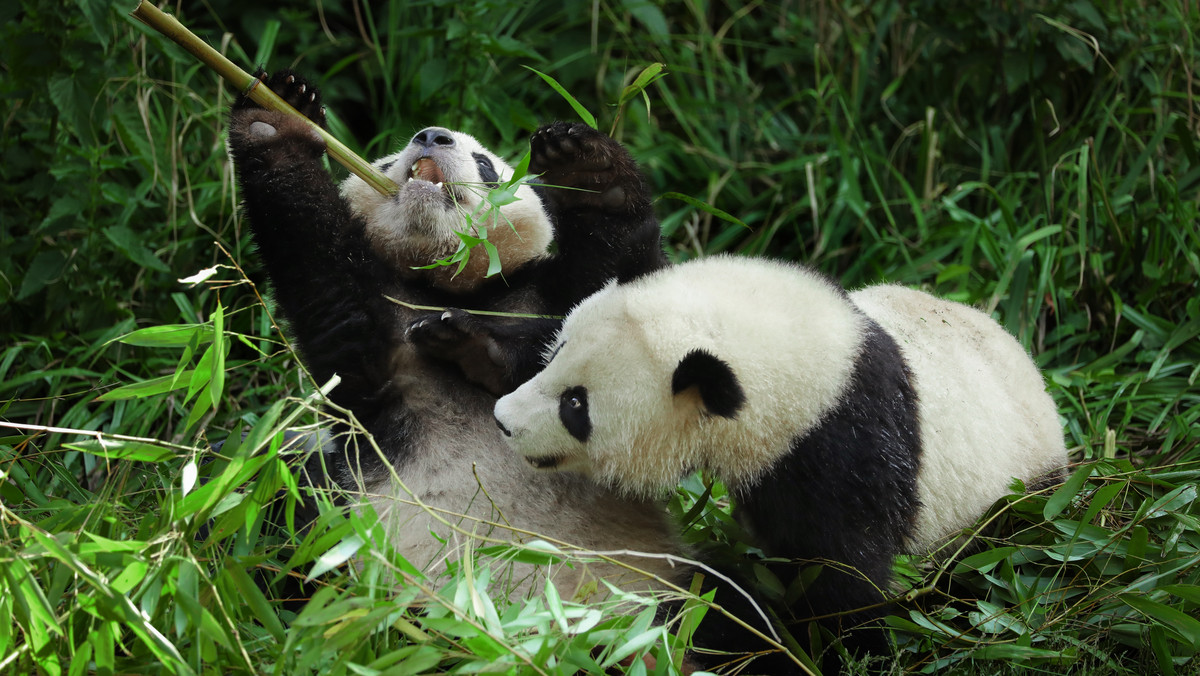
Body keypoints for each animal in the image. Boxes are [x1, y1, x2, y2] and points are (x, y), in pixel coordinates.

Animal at [496, 255, 1070, 672]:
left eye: (576, 405)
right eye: (556, 351)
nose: (504, 421)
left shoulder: (839, 449)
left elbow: (842, 574)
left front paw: (841, 651)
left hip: (1013, 499)